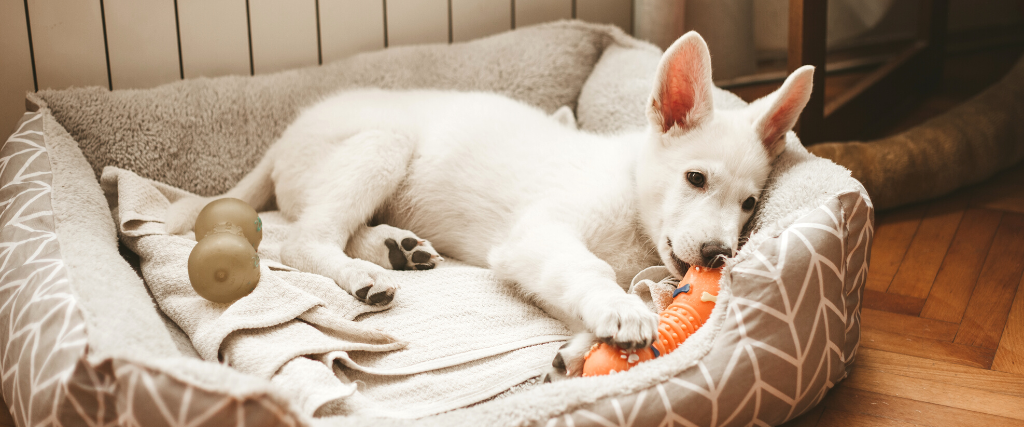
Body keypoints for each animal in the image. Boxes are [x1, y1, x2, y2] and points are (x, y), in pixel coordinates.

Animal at [163, 31, 811, 374]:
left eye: (750, 204)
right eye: (695, 178)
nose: (719, 254)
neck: (632, 195)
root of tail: (284, 137)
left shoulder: (534, 259)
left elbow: (570, 294)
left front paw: (578, 349)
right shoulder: (538, 236)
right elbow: (589, 271)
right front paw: (620, 313)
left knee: (334, 227)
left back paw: (398, 249)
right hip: (381, 143)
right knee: (304, 238)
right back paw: (363, 275)